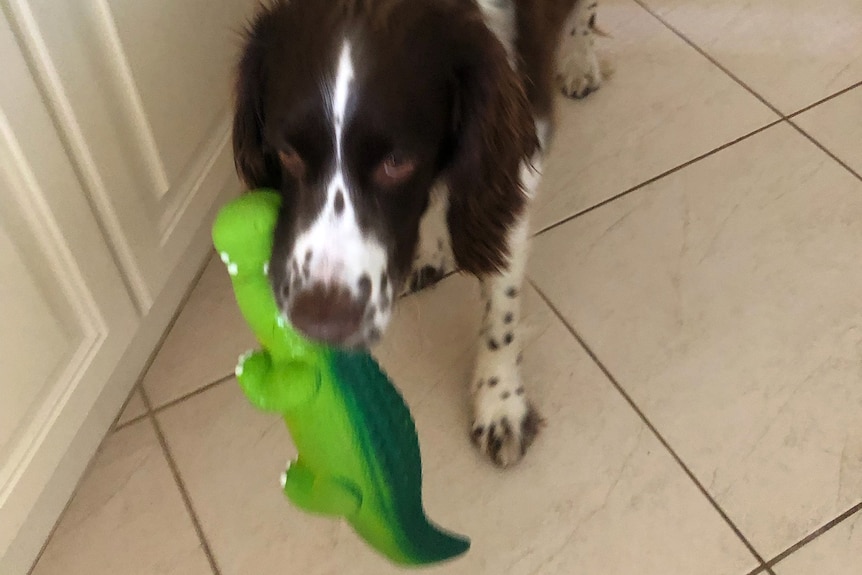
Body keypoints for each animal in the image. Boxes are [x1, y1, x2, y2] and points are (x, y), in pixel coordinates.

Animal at [231, 0, 608, 468]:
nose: (320, 322)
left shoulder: (514, 154)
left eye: (397, 162)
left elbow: (500, 302)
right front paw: (431, 250)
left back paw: (580, 61)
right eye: (286, 153)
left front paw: (499, 402)